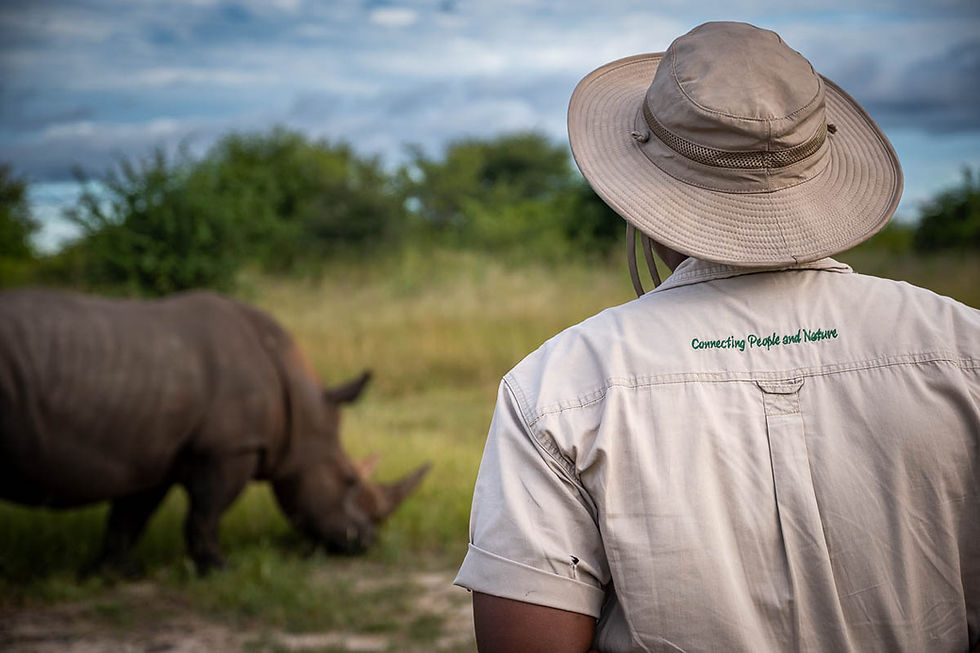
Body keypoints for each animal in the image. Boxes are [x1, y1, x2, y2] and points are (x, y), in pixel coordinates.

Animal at [0, 288, 429, 573]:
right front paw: (221, 570)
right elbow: (206, 512)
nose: (367, 541)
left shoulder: (156, 453)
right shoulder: (230, 448)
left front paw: (107, 573)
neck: (302, 408)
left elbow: (129, 516)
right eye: (350, 482)